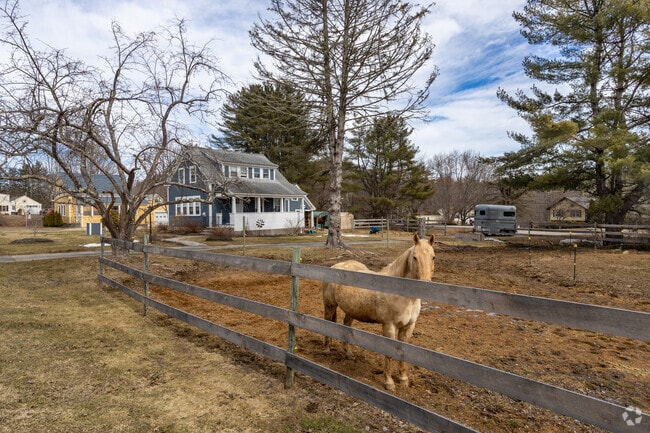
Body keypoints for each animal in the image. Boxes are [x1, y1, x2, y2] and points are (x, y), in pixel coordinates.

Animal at [322, 233, 435, 391]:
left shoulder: (408, 327)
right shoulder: (389, 326)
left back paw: (348, 354)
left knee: (346, 327)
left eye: (433, 257)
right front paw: (389, 382)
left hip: (351, 311)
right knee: (327, 323)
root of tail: (336, 266)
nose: (426, 287)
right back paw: (327, 350)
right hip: (329, 306)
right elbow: (389, 354)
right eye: (415, 257)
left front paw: (403, 379)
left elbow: (403, 352)